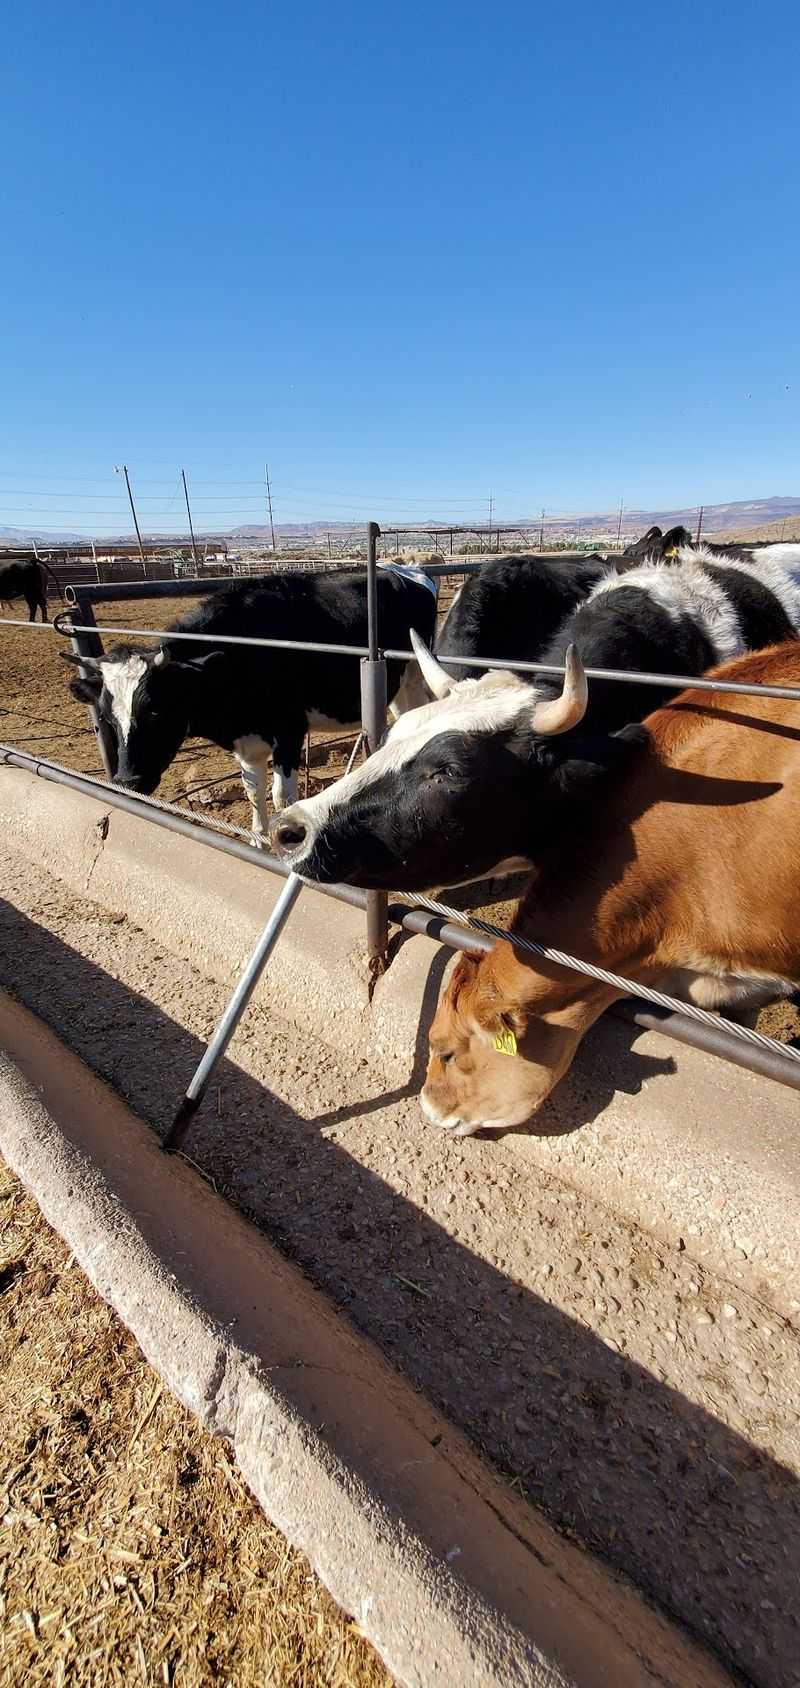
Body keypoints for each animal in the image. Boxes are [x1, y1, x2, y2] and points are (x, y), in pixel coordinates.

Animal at [61, 565, 438, 843]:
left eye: (155, 709)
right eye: (106, 717)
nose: (128, 782)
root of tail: (408, 570)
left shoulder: (289, 731)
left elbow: (282, 797)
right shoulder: (246, 741)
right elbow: (253, 791)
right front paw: (259, 842)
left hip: (414, 673)